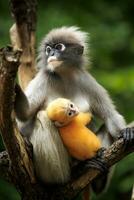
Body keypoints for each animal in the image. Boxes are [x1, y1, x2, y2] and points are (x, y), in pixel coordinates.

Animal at [14, 26, 130, 197]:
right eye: (48, 49)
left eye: (59, 47)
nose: (51, 54)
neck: (65, 76)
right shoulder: (44, 77)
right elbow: (24, 115)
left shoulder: (87, 81)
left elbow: (110, 115)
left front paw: (126, 131)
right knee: (42, 117)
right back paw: (69, 175)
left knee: (107, 129)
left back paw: (98, 177)